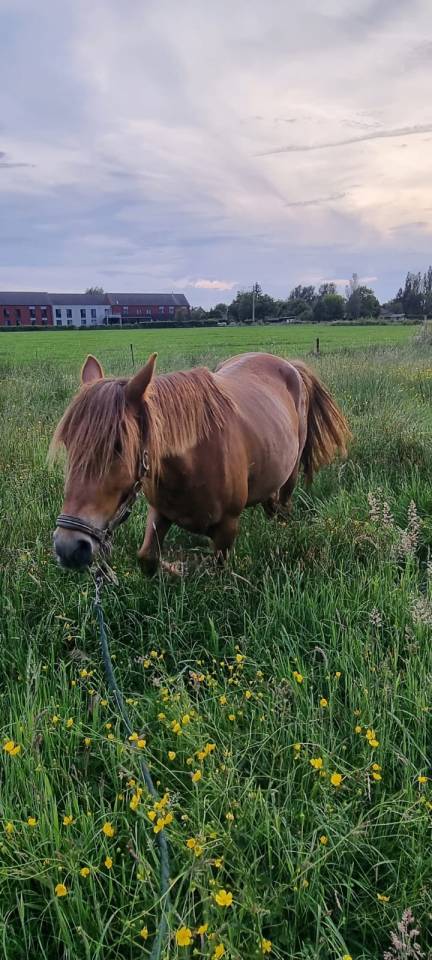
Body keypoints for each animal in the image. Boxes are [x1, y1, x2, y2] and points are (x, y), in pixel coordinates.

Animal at [51, 351, 350, 574]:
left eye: (118, 446)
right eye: (67, 442)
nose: (68, 547)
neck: (193, 462)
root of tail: (289, 365)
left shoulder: (227, 527)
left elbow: (218, 569)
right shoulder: (159, 511)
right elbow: (148, 558)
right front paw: (173, 570)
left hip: (291, 473)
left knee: (284, 505)